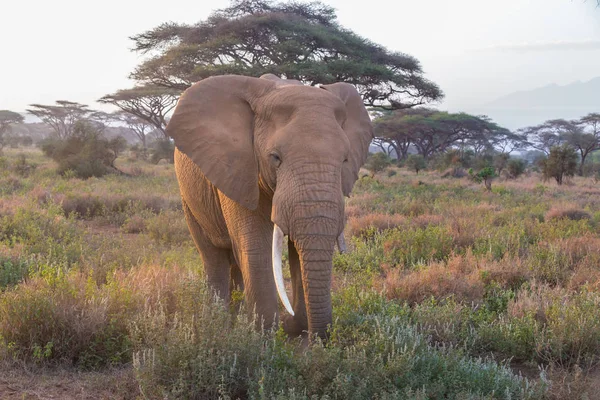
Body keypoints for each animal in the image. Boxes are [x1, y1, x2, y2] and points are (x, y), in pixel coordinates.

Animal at [166, 72, 372, 338]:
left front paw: (294, 328)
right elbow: (256, 247)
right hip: (189, 197)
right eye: (275, 158)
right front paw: (264, 336)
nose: (321, 338)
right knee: (213, 256)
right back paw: (218, 322)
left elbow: (296, 250)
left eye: (345, 159)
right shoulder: (239, 168)